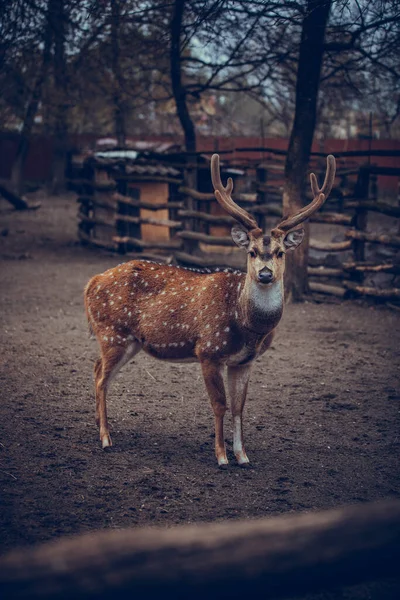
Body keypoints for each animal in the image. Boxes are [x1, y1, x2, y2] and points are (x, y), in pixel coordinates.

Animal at [86, 154, 336, 468]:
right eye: (252, 252)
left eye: (280, 252)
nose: (265, 274)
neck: (246, 325)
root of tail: (91, 283)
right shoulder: (208, 350)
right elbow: (220, 405)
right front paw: (221, 456)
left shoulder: (243, 361)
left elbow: (240, 406)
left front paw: (243, 456)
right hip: (112, 333)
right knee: (100, 377)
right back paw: (106, 439)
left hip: (129, 342)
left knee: (98, 370)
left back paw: (101, 427)